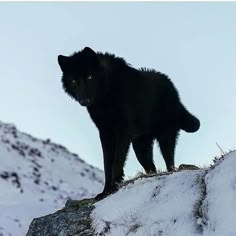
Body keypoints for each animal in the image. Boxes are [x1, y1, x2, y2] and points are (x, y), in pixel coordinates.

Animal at [57, 47, 199, 200]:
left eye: (89, 77)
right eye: (74, 81)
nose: (84, 101)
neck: (107, 94)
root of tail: (173, 89)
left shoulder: (122, 131)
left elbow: (116, 162)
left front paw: (114, 186)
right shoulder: (105, 133)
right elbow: (107, 164)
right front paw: (105, 192)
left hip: (164, 138)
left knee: (170, 161)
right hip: (140, 148)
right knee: (152, 167)